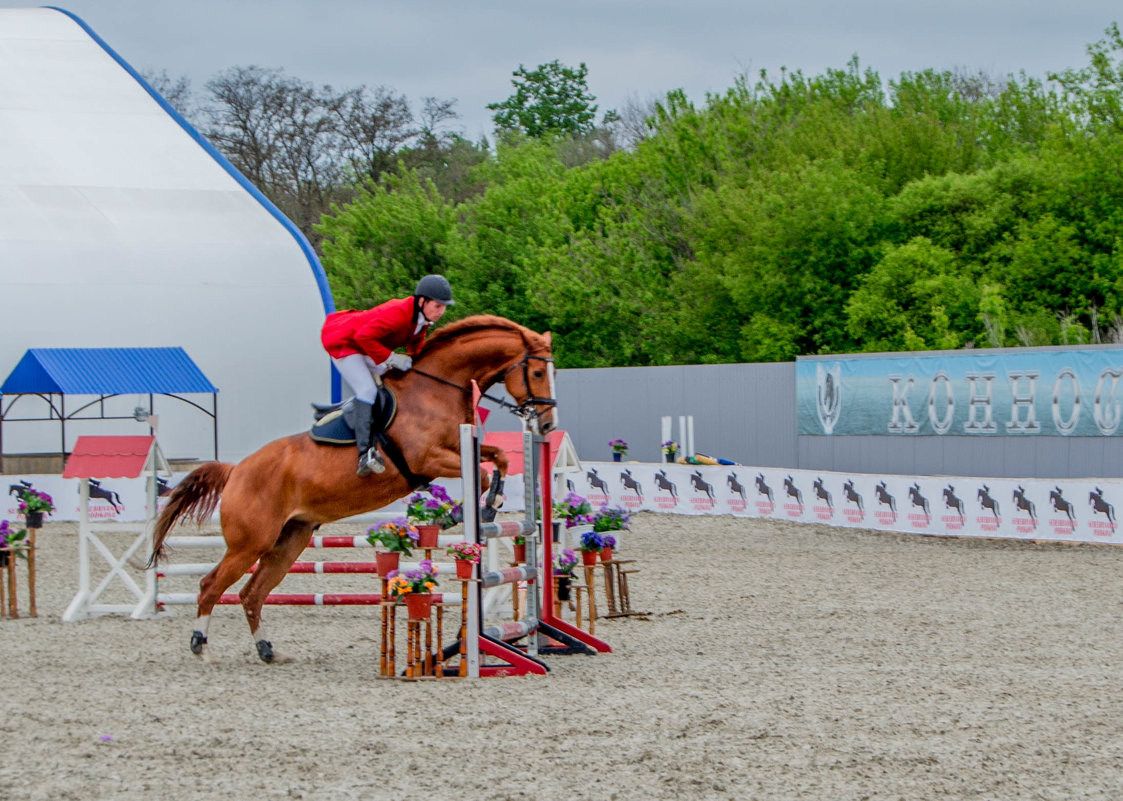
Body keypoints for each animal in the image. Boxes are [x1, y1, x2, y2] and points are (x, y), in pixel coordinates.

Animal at [149, 314, 552, 660]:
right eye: (536, 371)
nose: (546, 424)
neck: (435, 389)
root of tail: (236, 470)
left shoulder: (459, 447)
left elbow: (498, 458)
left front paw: (491, 503)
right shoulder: (428, 459)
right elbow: (480, 474)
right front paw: (465, 512)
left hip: (288, 541)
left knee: (252, 593)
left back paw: (267, 649)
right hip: (250, 543)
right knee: (211, 585)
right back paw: (200, 646)